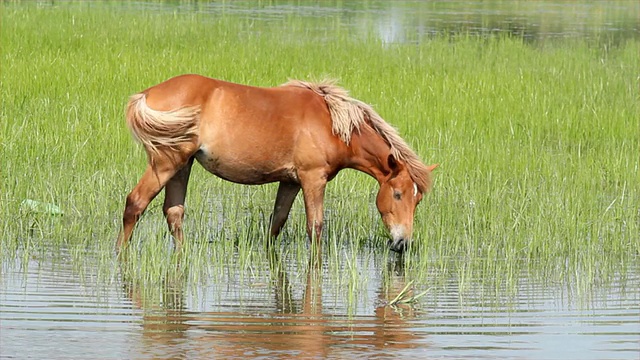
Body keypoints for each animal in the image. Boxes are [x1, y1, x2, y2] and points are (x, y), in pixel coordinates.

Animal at [115, 74, 438, 252]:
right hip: (165, 163)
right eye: (398, 194)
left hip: (183, 165)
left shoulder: (290, 181)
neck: (332, 124)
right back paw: (120, 255)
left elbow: (276, 223)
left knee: (174, 212)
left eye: (417, 199)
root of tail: (147, 93)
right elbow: (315, 227)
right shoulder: (312, 179)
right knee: (135, 204)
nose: (402, 244)